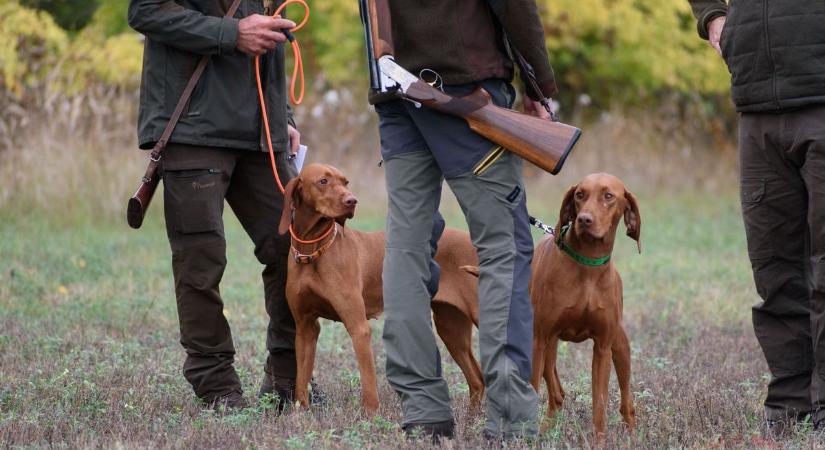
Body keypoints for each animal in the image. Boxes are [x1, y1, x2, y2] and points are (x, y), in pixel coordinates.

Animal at [276, 163, 482, 414]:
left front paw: (371, 415)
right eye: (323, 181)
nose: (352, 201)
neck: (313, 250)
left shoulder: (358, 327)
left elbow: (368, 381)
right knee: (477, 379)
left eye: (345, 182)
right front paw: (300, 412)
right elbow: (301, 379)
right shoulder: (305, 327)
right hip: (450, 327)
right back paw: (473, 420)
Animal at [532, 171, 640, 432]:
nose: (584, 219)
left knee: (626, 399)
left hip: (619, 346)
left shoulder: (602, 347)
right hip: (547, 344)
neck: (588, 266)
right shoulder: (539, 339)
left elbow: (599, 406)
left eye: (608, 196)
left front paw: (599, 438)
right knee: (553, 389)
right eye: (580, 195)